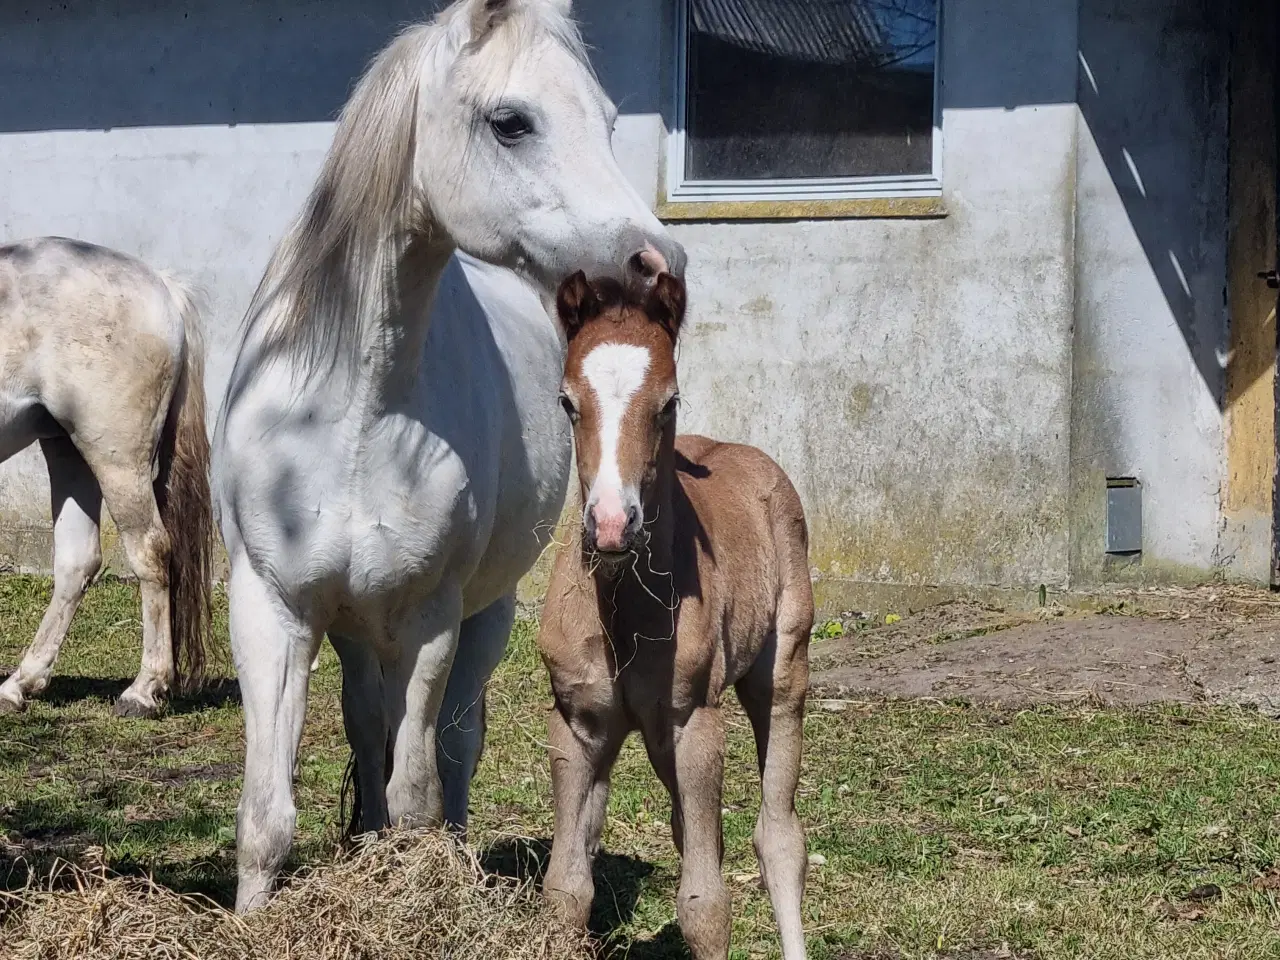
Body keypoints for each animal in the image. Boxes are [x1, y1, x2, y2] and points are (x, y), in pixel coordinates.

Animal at [0, 239, 212, 721]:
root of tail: (163, 288)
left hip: (115, 456)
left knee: (151, 551)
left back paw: (143, 691)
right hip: (67, 448)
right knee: (77, 562)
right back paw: (20, 684)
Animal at [212, 0, 680, 911]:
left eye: (609, 122)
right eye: (511, 122)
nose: (658, 263)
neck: (357, 404)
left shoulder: (428, 620)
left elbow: (417, 792)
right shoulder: (271, 608)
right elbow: (267, 816)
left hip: (480, 617)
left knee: (456, 745)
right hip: (355, 630)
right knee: (367, 726)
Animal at [537, 272, 814, 960]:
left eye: (668, 402)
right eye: (566, 402)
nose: (612, 524)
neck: (623, 615)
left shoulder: (694, 722)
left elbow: (705, 906)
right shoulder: (577, 724)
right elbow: (566, 891)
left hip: (781, 674)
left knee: (778, 838)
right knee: (688, 829)